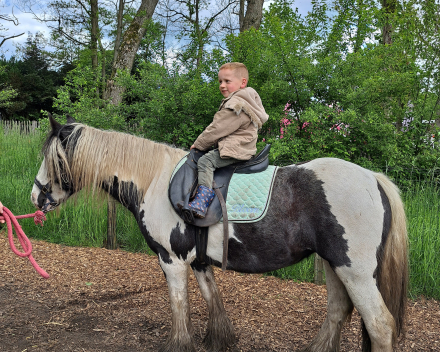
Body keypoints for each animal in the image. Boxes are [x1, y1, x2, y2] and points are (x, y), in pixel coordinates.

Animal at [31, 115, 410, 352]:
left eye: (54, 159)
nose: (36, 196)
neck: (154, 179)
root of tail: (374, 178)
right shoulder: (199, 261)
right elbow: (212, 300)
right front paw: (219, 339)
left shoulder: (171, 260)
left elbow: (179, 306)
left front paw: (179, 345)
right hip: (335, 266)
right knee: (337, 312)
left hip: (356, 271)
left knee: (379, 325)